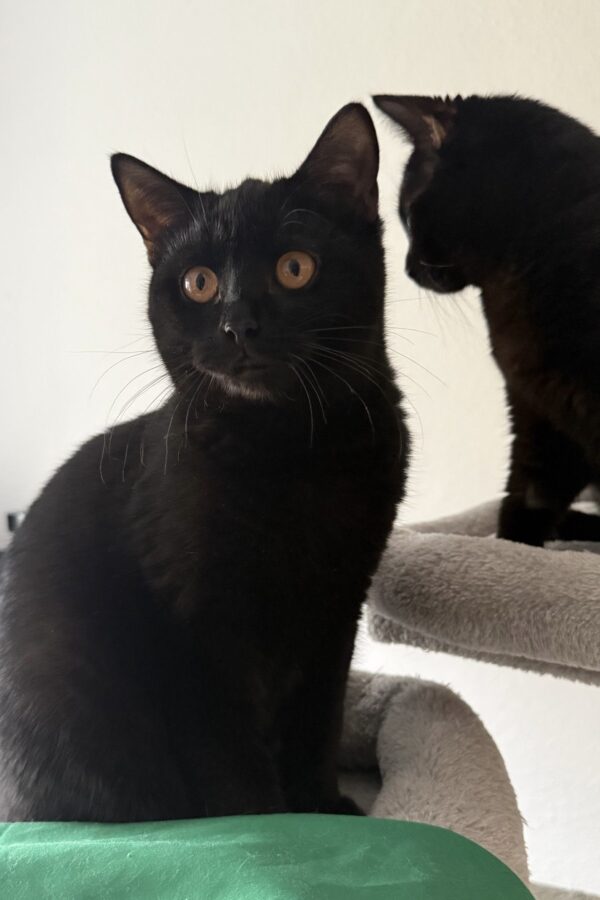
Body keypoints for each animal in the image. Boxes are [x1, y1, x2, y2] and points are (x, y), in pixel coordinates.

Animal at [0, 103, 408, 822]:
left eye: (295, 267)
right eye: (199, 284)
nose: (237, 326)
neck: (291, 452)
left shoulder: (337, 610)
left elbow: (320, 723)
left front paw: (323, 807)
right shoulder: (198, 634)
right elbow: (228, 758)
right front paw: (271, 824)